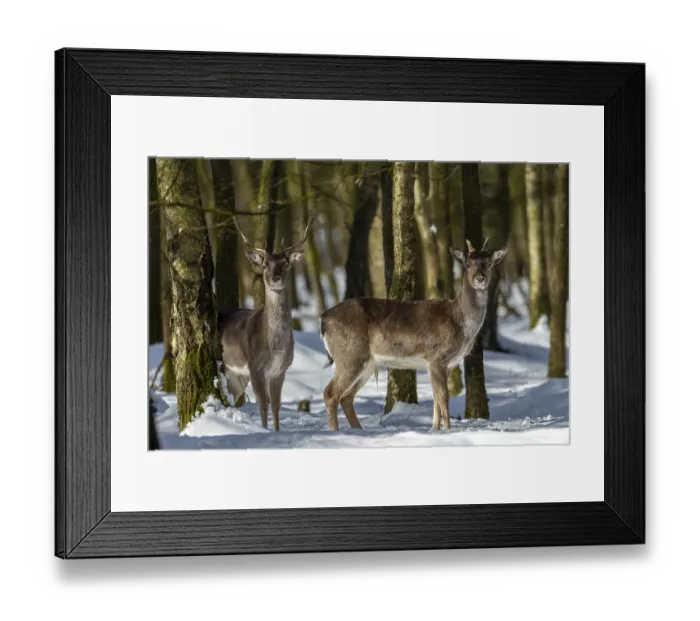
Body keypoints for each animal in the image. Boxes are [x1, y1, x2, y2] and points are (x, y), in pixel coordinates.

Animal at [218, 218, 312, 432]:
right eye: (265, 265)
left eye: (285, 264)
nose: (275, 278)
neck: (273, 344)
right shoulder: (255, 366)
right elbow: (262, 405)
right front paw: (264, 430)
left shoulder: (280, 370)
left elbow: (275, 404)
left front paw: (276, 431)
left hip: (236, 374)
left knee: (235, 399)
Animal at [320, 239, 507, 432]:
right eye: (468, 264)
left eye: (489, 263)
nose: (480, 278)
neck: (460, 322)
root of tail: (323, 319)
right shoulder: (436, 356)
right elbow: (443, 397)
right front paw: (447, 430)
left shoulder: (447, 364)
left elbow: (436, 399)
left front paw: (435, 429)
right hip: (349, 355)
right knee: (330, 393)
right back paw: (337, 432)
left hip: (368, 363)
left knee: (346, 397)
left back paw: (359, 431)